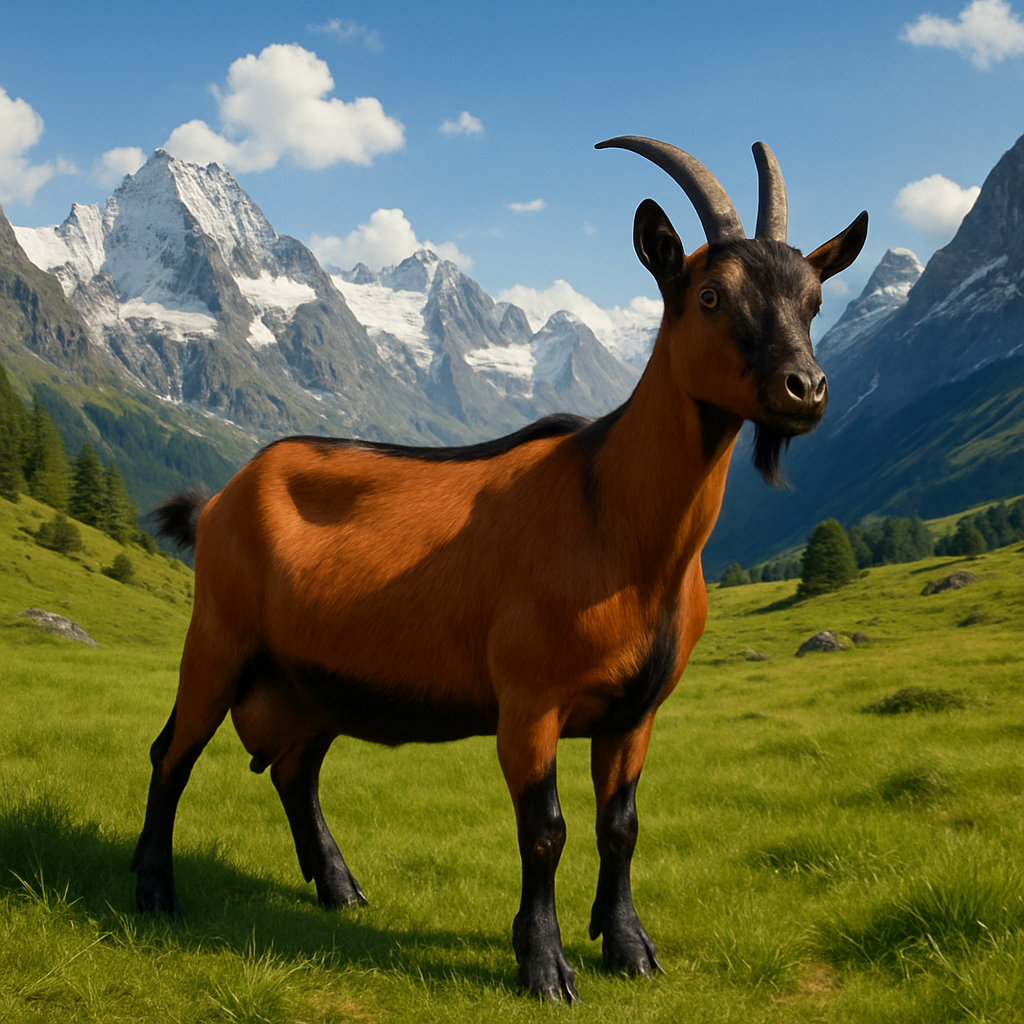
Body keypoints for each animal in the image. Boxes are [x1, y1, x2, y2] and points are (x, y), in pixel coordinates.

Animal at [132, 137, 867, 1002]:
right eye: (712, 296)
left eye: (814, 301)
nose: (805, 388)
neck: (615, 519)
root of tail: (220, 498)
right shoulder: (529, 701)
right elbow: (544, 831)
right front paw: (544, 965)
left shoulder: (635, 711)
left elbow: (620, 827)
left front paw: (628, 948)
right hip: (217, 638)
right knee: (173, 753)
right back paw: (155, 894)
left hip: (311, 678)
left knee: (294, 768)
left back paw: (341, 890)